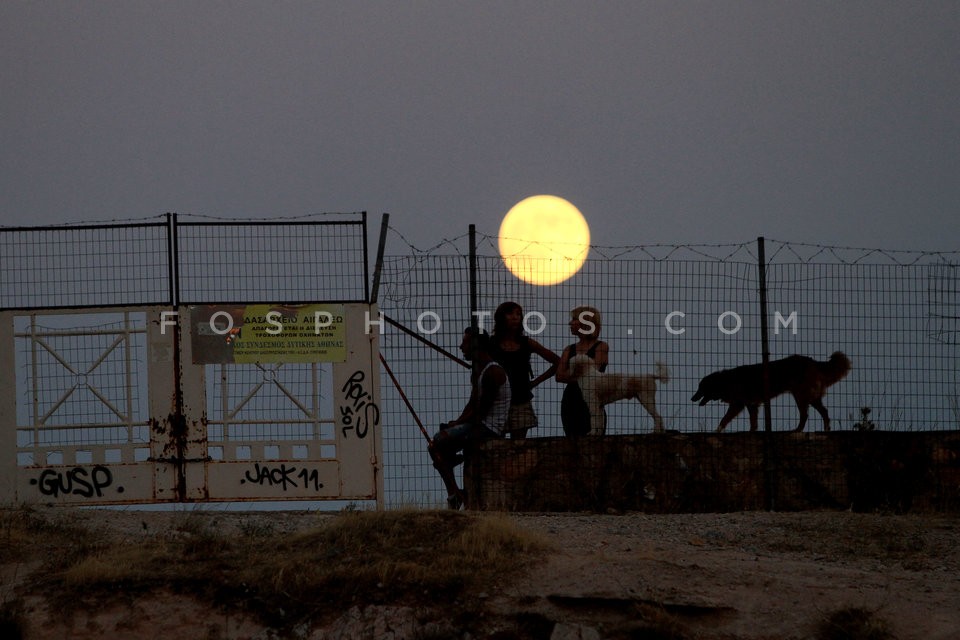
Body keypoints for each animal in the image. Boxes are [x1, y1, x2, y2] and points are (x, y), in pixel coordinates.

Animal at [688, 352, 856, 432]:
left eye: (700, 388)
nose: (691, 398)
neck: (725, 381)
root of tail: (812, 362)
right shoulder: (751, 405)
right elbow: (753, 422)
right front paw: (752, 432)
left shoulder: (738, 404)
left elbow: (724, 419)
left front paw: (717, 430)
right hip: (810, 397)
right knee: (824, 412)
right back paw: (826, 429)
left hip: (801, 396)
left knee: (805, 414)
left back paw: (797, 430)